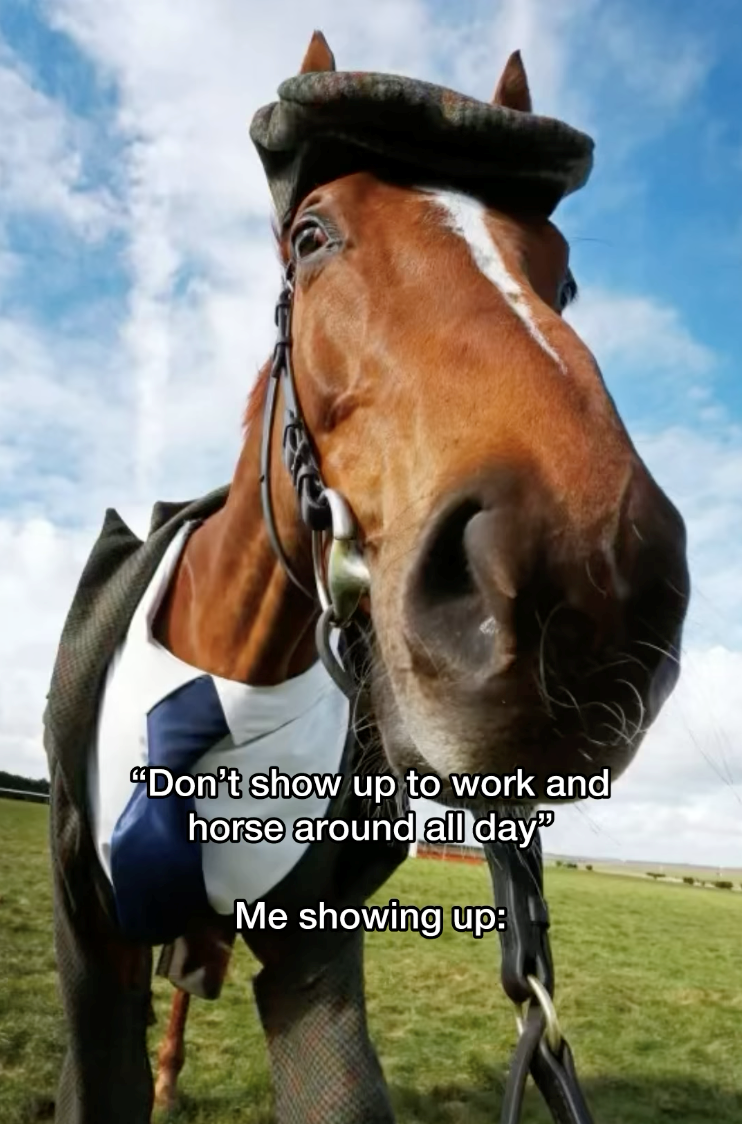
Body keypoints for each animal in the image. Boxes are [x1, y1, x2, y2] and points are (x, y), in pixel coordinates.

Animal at [44, 31, 690, 1124]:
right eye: (311, 236)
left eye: (561, 279)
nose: (593, 588)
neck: (230, 668)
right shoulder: (95, 937)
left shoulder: (313, 946)